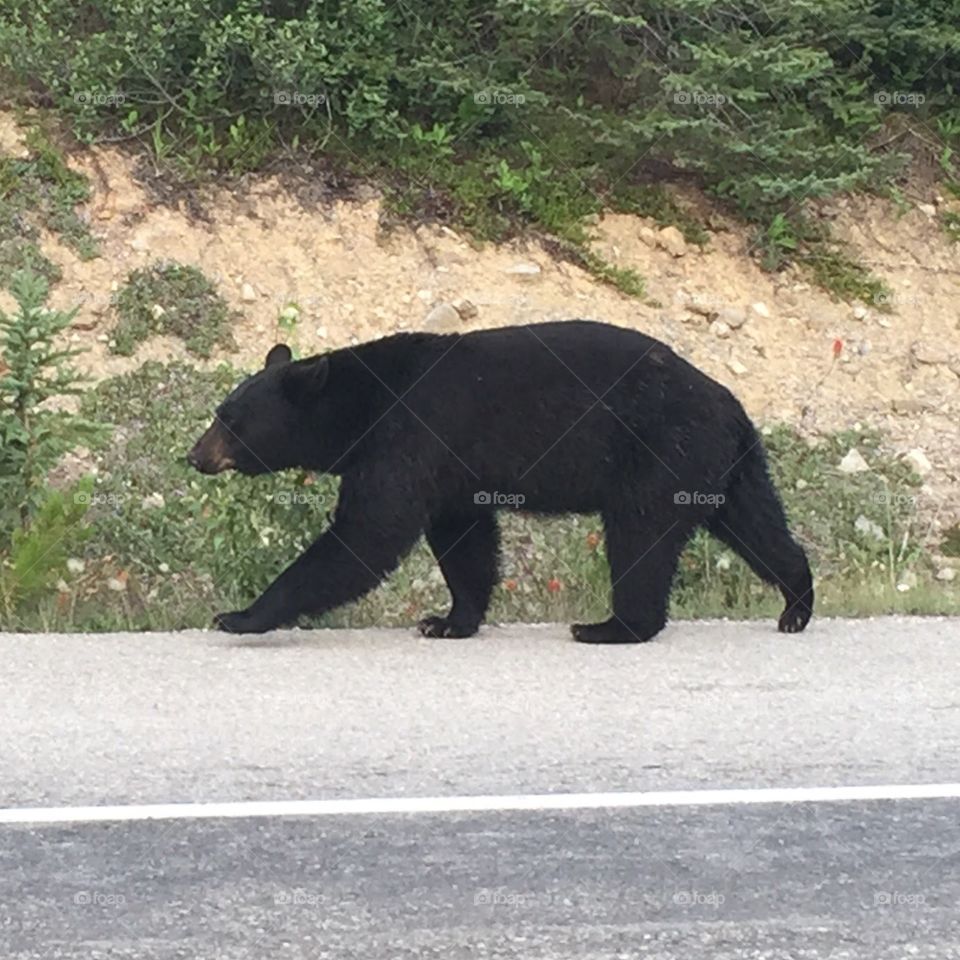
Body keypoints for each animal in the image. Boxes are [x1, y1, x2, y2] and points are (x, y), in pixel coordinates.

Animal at [187, 320, 813, 643]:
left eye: (230, 421)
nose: (195, 456)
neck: (362, 407)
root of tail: (731, 405)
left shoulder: (411, 437)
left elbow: (366, 535)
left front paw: (240, 615)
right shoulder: (452, 470)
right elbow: (464, 540)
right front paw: (448, 620)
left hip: (660, 453)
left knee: (639, 537)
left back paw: (612, 626)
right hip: (723, 466)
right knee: (757, 524)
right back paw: (796, 603)